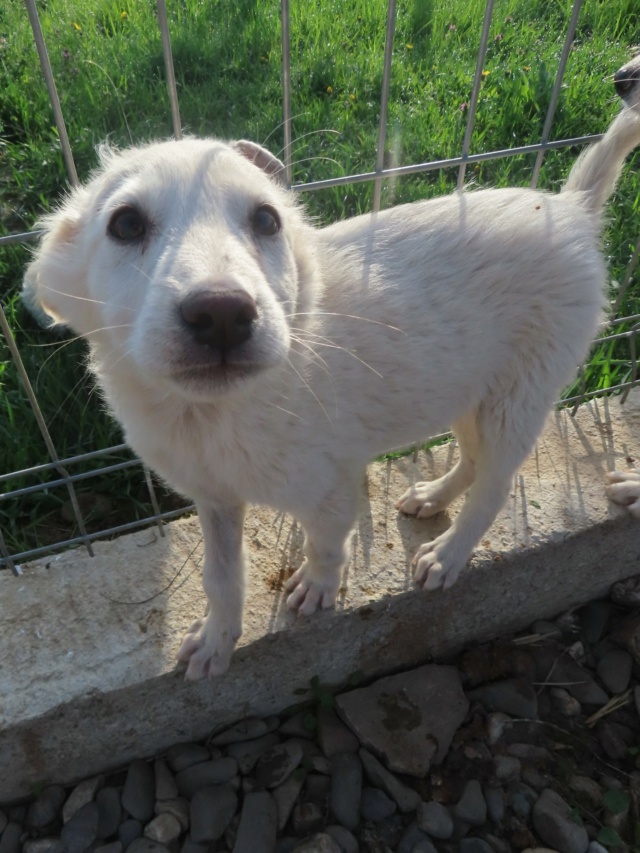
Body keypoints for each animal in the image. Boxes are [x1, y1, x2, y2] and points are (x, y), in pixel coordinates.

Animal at [23, 60, 640, 676]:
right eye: (126, 225)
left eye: (267, 220)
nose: (223, 313)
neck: (215, 414)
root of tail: (570, 209)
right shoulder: (214, 498)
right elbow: (220, 576)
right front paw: (218, 640)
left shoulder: (334, 486)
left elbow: (324, 543)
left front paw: (317, 589)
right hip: (467, 386)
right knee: (471, 458)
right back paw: (434, 497)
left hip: (521, 392)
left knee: (496, 483)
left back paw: (449, 553)